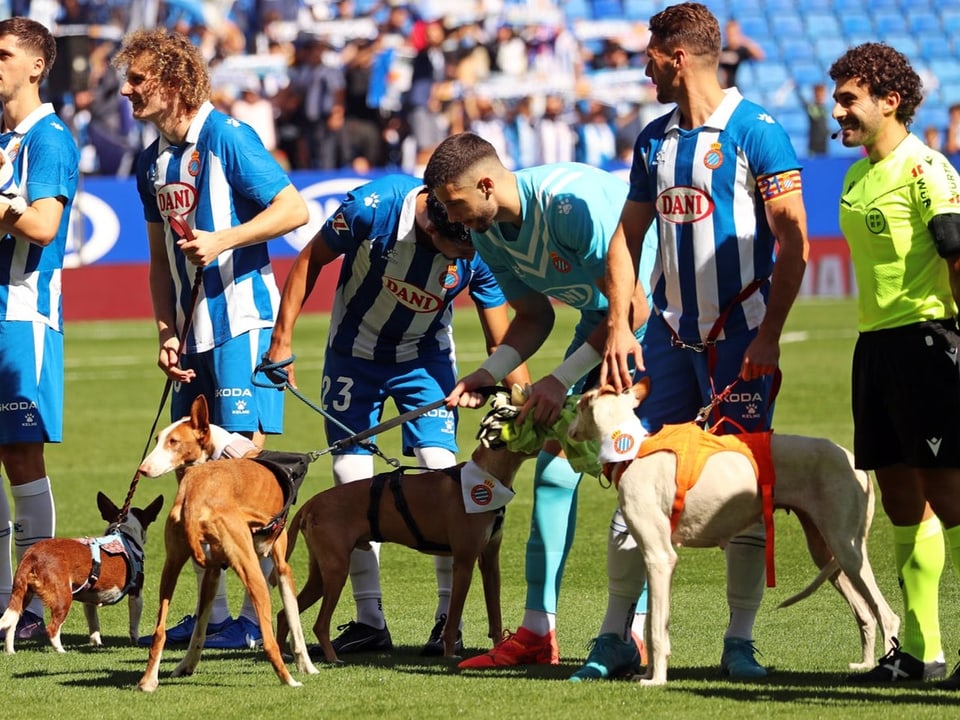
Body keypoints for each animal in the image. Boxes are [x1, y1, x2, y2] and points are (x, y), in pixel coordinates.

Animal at [0, 492, 163, 656]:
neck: (124, 532)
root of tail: (31, 555)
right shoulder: (136, 594)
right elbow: (134, 624)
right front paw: (135, 641)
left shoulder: (89, 599)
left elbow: (94, 625)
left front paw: (96, 643)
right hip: (63, 597)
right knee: (52, 628)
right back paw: (61, 651)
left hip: (23, 594)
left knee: (11, 624)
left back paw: (10, 651)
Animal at [135, 394, 318, 692]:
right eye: (159, 440)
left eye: (172, 441)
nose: (142, 469)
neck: (226, 452)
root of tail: (194, 495)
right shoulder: (281, 566)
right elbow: (295, 622)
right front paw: (308, 667)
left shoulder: (212, 570)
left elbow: (199, 632)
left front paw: (186, 666)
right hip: (252, 570)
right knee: (269, 642)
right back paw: (289, 680)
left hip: (170, 566)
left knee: (159, 631)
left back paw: (148, 680)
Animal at [276, 388, 532, 664]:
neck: (485, 478)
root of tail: (311, 502)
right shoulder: (464, 562)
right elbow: (452, 620)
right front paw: (450, 654)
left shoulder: (490, 562)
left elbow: (495, 617)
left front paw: (498, 651)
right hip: (336, 570)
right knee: (320, 624)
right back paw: (333, 658)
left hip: (321, 574)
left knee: (284, 614)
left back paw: (283, 653)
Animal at [568, 376, 900, 688]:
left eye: (581, 402)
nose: (567, 423)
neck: (632, 450)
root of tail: (854, 460)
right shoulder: (651, 556)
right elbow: (652, 624)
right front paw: (647, 674)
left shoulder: (661, 558)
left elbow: (657, 630)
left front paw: (657, 680)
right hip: (827, 552)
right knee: (866, 613)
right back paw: (865, 664)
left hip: (847, 549)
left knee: (887, 615)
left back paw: (889, 669)